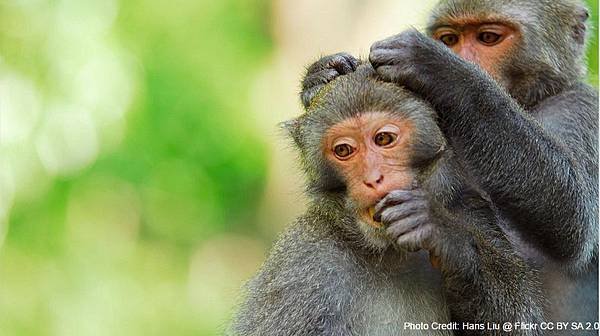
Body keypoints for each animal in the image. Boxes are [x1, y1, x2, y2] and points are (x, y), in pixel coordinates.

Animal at [230, 65, 544, 336]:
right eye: (343, 150)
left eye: (383, 139)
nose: (372, 178)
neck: (393, 252)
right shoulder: (302, 265)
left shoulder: (472, 212)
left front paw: (445, 235)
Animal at [298, 0, 596, 326]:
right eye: (449, 39)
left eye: (488, 38)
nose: (461, 58)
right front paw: (319, 77)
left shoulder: (582, 108)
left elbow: (574, 215)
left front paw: (441, 70)